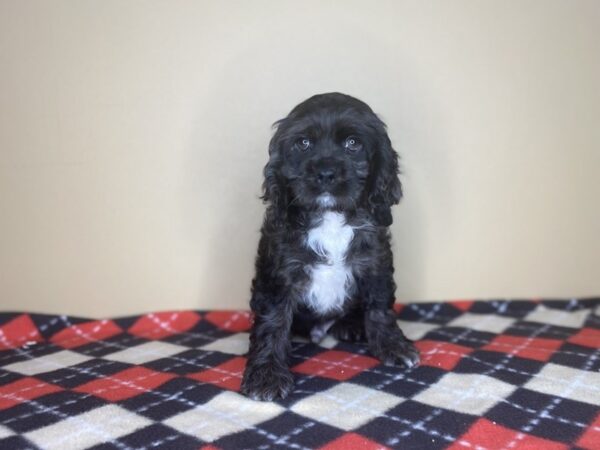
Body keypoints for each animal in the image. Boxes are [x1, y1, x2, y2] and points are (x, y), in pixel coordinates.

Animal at [241, 92, 420, 400]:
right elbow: (272, 321)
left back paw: (351, 325)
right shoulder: (279, 271)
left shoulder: (375, 261)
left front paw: (394, 346)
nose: (326, 173)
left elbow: (380, 306)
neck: (331, 216)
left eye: (353, 143)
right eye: (303, 143)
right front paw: (266, 375)